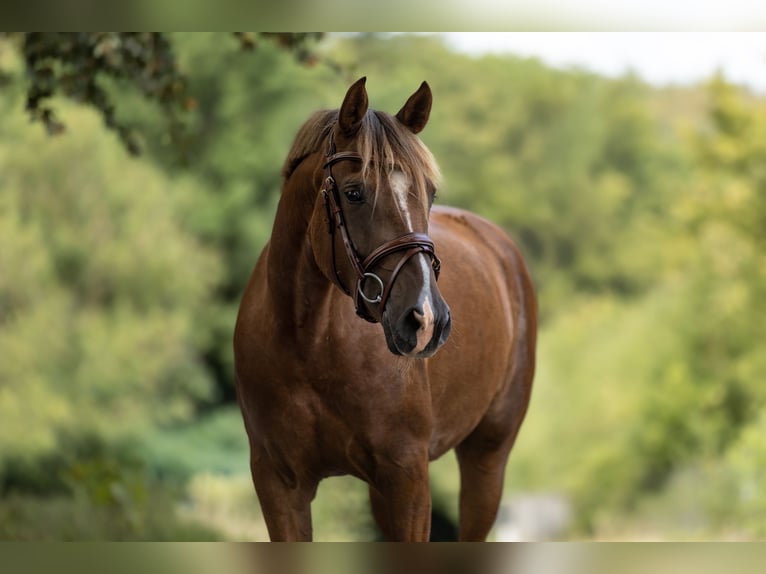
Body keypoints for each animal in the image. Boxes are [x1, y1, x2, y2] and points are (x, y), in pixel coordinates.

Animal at [233, 77, 537, 541]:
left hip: (487, 456)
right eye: (354, 192)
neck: (307, 343)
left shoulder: (407, 479)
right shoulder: (279, 484)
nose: (427, 319)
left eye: (430, 192)